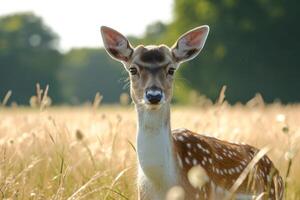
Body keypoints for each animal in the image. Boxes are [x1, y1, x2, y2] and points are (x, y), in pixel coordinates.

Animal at [100, 25, 284, 200]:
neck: (163, 184)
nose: (154, 95)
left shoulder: (200, 193)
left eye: (171, 69)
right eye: (133, 69)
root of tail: (278, 174)